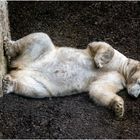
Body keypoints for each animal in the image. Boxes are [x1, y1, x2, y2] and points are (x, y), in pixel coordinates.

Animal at [2, 32, 140, 118]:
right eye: (139, 82)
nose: (135, 96)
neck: (122, 69)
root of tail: (20, 68)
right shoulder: (117, 58)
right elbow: (103, 46)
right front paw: (99, 61)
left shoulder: (117, 78)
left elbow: (98, 89)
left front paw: (119, 107)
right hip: (38, 54)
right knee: (40, 37)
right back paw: (8, 45)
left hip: (37, 81)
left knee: (37, 90)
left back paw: (9, 84)